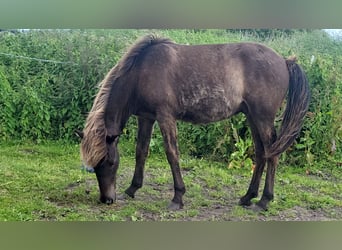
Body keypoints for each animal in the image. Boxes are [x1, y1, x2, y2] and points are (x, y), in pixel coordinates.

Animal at [77, 34, 310, 211]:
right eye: (94, 166)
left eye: (110, 162)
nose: (107, 199)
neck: (142, 71)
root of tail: (284, 61)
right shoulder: (146, 117)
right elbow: (141, 151)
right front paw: (132, 189)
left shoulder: (165, 116)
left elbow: (172, 153)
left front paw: (177, 198)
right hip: (252, 117)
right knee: (262, 154)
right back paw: (247, 197)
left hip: (263, 119)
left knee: (272, 155)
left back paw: (263, 201)